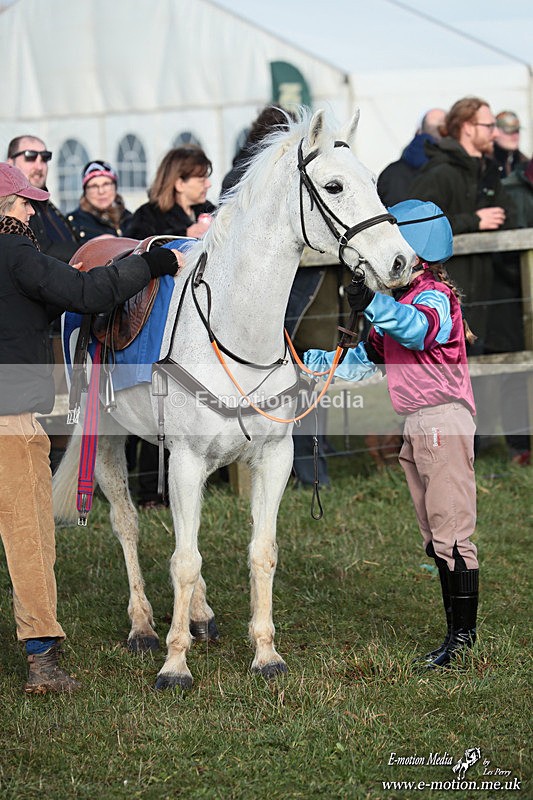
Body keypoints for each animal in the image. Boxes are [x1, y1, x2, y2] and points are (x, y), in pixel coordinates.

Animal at [53, 108, 417, 690]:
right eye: (334, 186)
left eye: (373, 181)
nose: (402, 261)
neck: (233, 331)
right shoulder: (184, 460)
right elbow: (183, 560)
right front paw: (174, 665)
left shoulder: (272, 457)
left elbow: (260, 552)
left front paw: (266, 654)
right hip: (106, 437)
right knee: (128, 523)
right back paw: (143, 626)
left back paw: (200, 615)